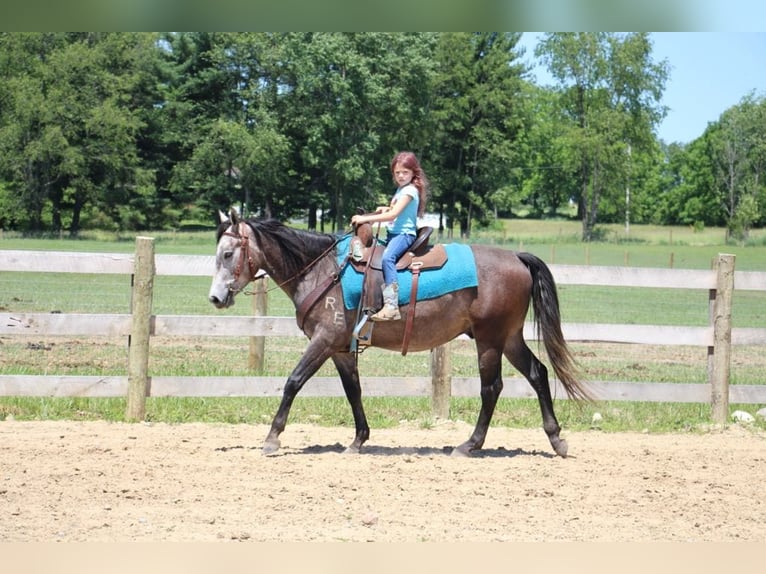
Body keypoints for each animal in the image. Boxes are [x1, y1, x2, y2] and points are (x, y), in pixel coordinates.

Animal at [207, 212, 592, 460]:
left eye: (227, 253)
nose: (215, 298)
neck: (321, 270)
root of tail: (516, 257)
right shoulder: (341, 349)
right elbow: (353, 391)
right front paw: (358, 440)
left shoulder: (323, 341)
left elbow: (293, 382)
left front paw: (272, 438)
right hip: (508, 338)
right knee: (537, 374)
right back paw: (556, 439)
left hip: (490, 340)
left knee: (491, 388)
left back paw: (470, 444)